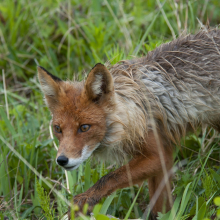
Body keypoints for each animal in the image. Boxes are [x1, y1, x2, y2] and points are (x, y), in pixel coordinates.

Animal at [38, 27, 220, 218]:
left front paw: (85, 199)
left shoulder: (158, 154)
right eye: (58, 129)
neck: (128, 114)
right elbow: (160, 206)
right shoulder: (162, 158)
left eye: (84, 127)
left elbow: (110, 177)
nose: (61, 160)